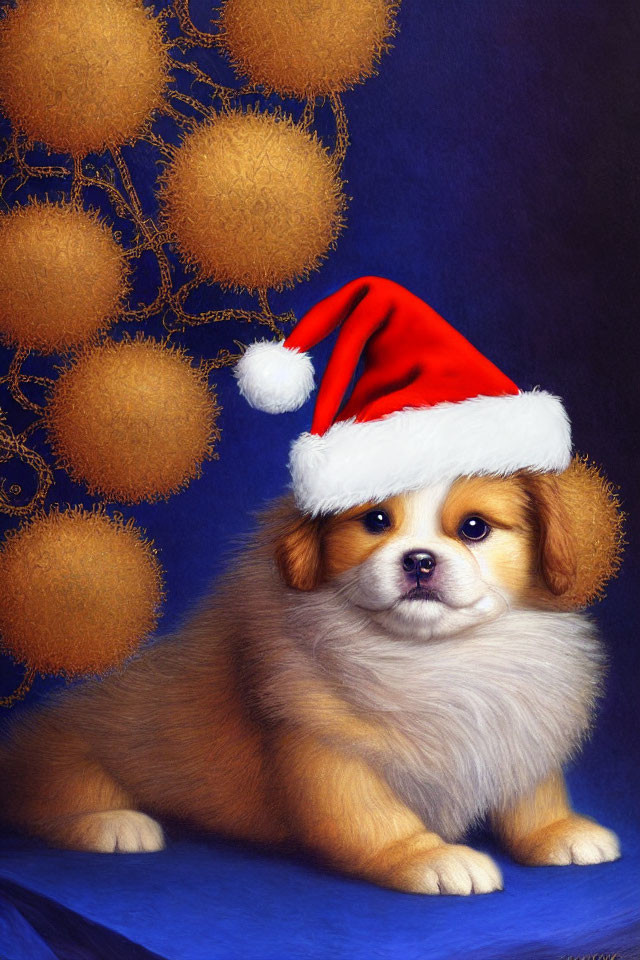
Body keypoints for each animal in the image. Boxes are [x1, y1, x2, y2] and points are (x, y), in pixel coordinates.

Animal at [0, 456, 624, 892]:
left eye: (474, 528)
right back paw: (113, 824)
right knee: (44, 805)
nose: (419, 560)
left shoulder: (515, 729)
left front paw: (558, 831)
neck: (437, 657)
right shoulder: (327, 753)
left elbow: (533, 796)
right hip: (67, 756)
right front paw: (431, 857)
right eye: (375, 520)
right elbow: (376, 821)